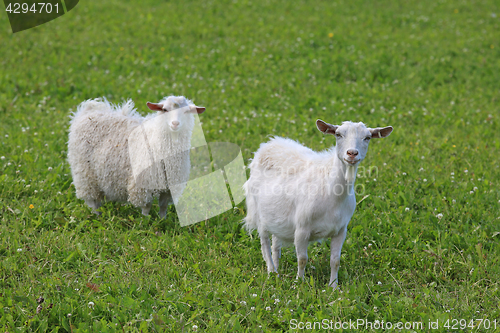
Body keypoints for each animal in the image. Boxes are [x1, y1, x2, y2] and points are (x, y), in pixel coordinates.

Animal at [68, 94, 205, 217]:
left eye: (187, 111)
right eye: (165, 110)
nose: (175, 124)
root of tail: (88, 109)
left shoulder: (169, 188)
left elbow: (163, 206)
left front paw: (162, 220)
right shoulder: (142, 185)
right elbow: (146, 207)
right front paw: (144, 222)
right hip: (84, 174)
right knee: (92, 200)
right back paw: (97, 215)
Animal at [244, 118, 392, 288]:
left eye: (367, 137)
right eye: (338, 134)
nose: (352, 153)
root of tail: (268, 145)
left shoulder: (341, 230)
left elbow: (335, 260)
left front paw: (333, 286)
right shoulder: (301, 229)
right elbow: (302, 259)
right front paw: (299, 283)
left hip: (276, 216)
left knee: (275, 245)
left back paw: (277, 270)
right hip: (259, 214)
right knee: (265, 245)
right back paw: (271, 272)